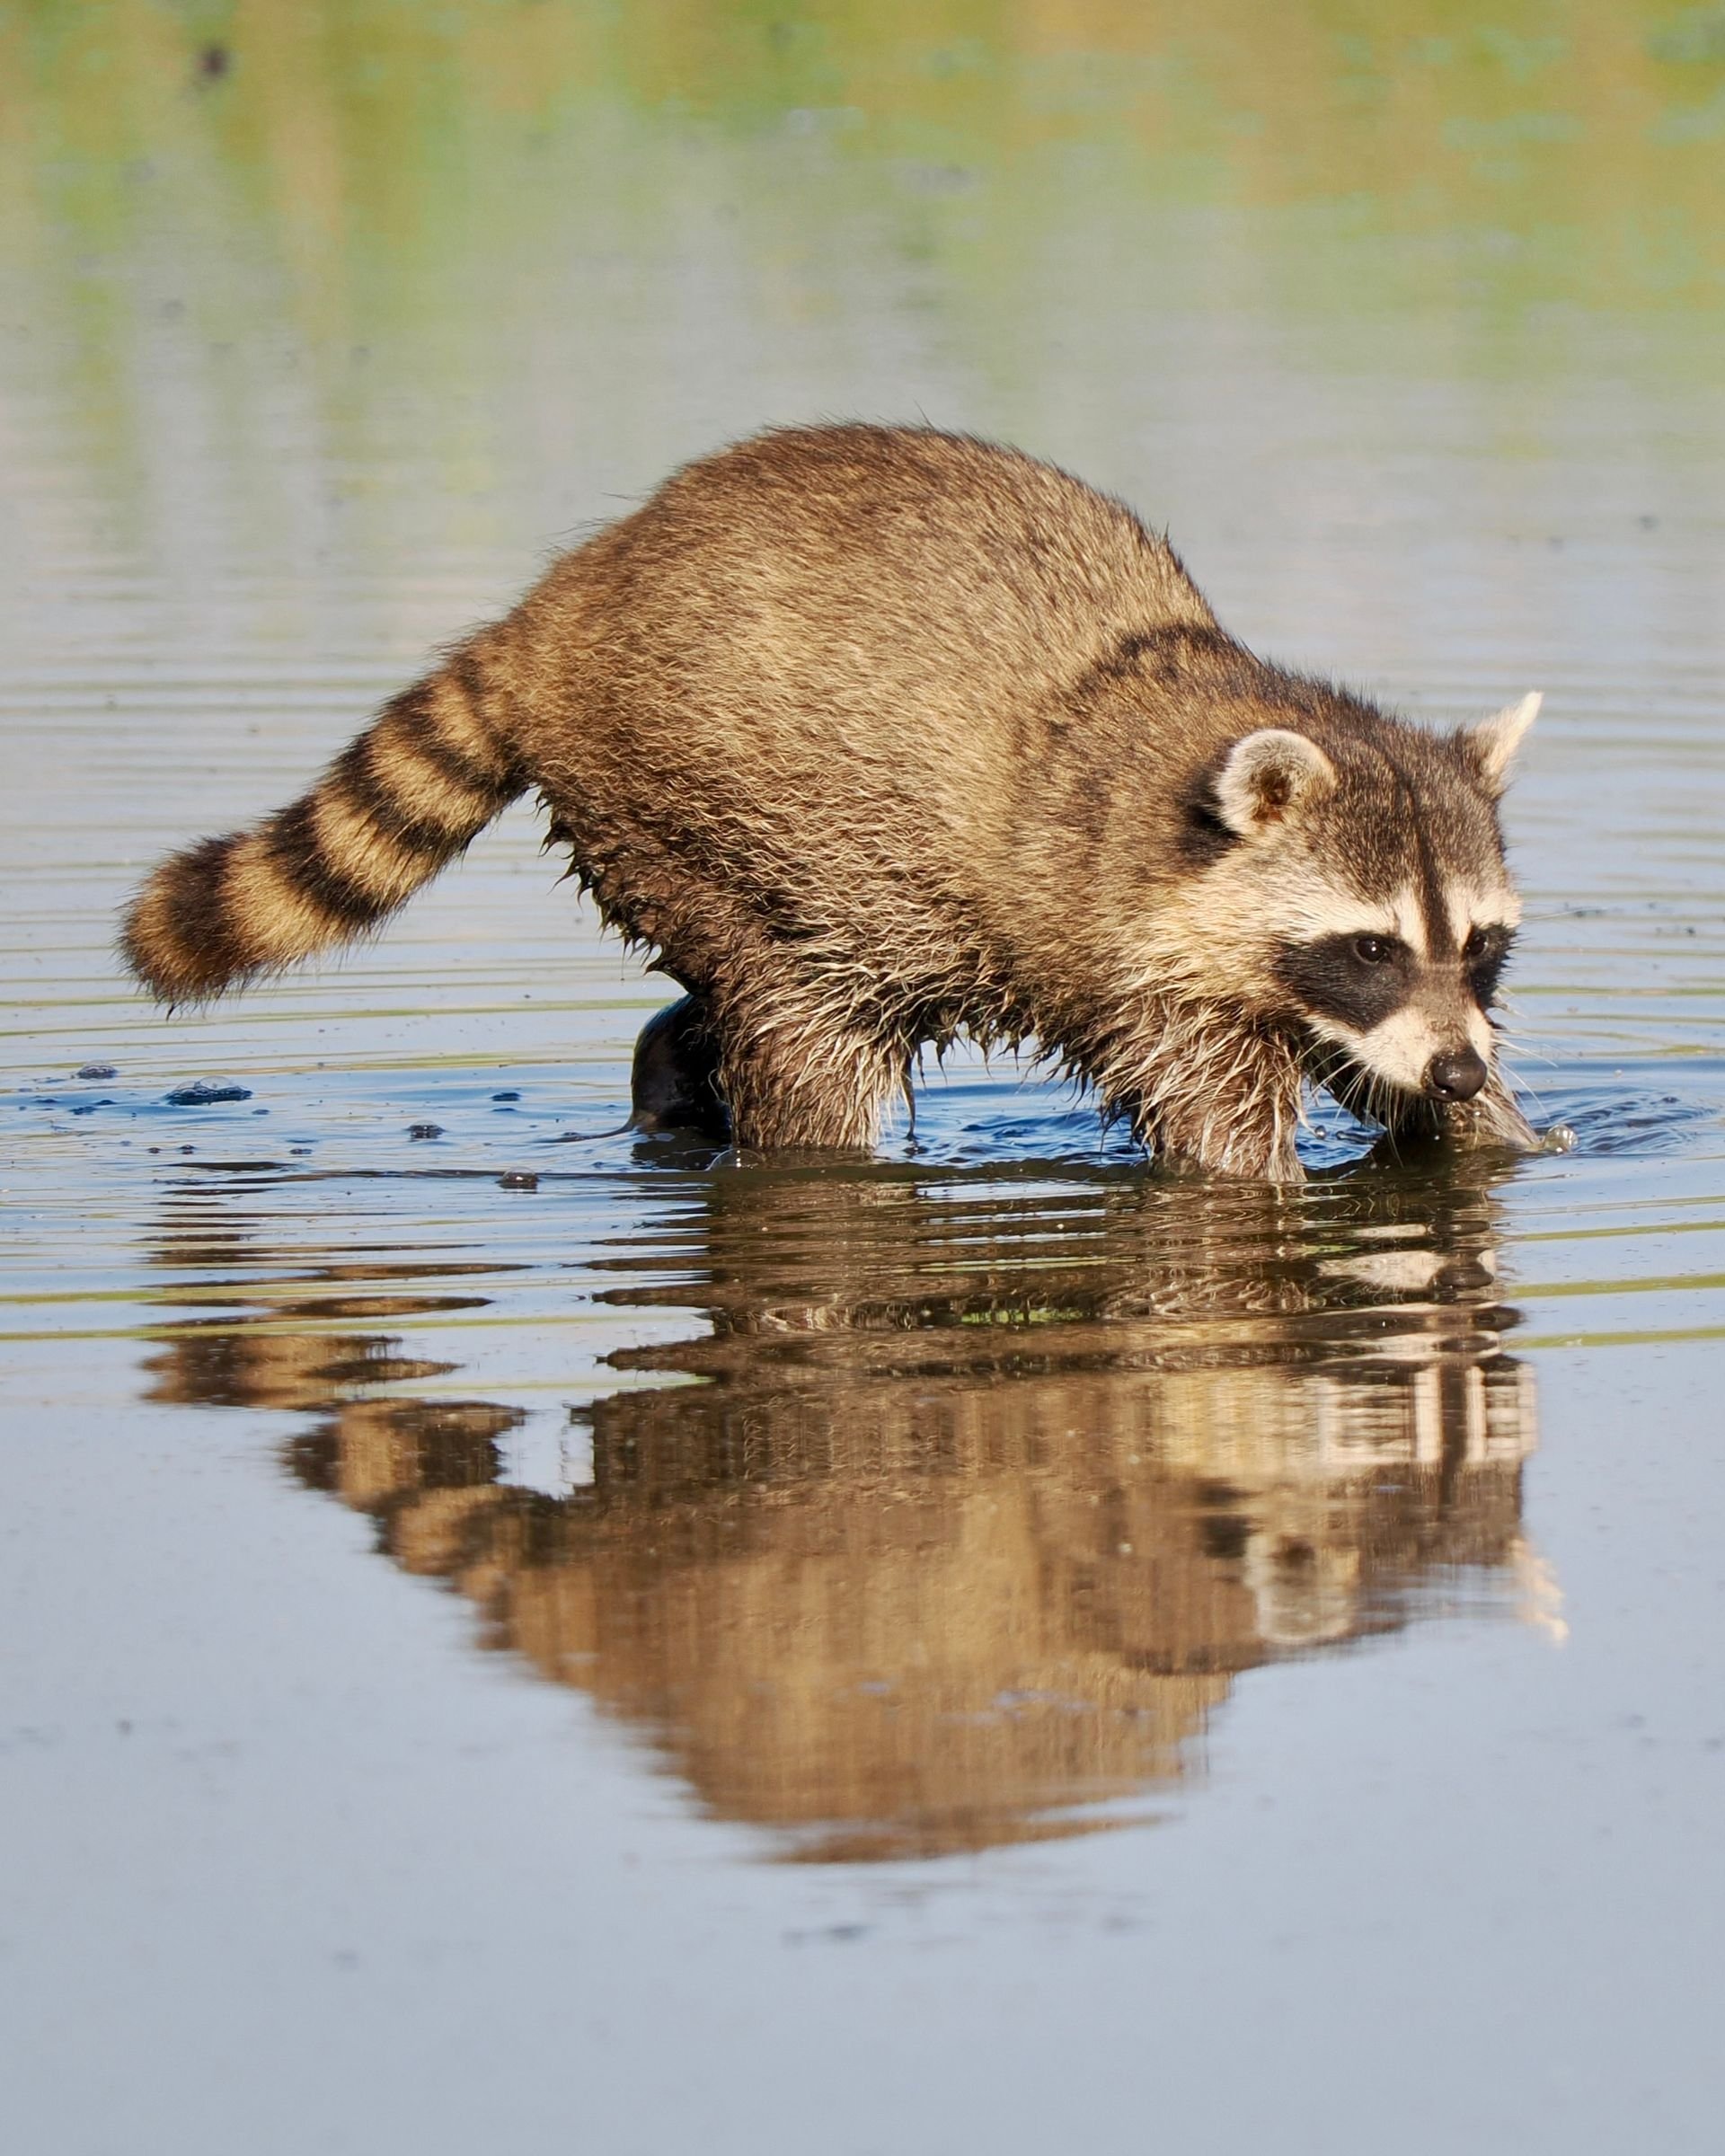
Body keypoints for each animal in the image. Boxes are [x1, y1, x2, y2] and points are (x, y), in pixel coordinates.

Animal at [122, 423, 1540, 1179]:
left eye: (1479, 944)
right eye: (1368, 946)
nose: (1463, 1069)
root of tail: (563, 604)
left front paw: (1490, 1134)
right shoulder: (1133, 942)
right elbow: (1214, 1125)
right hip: (692, 808)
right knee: (805, 1030)